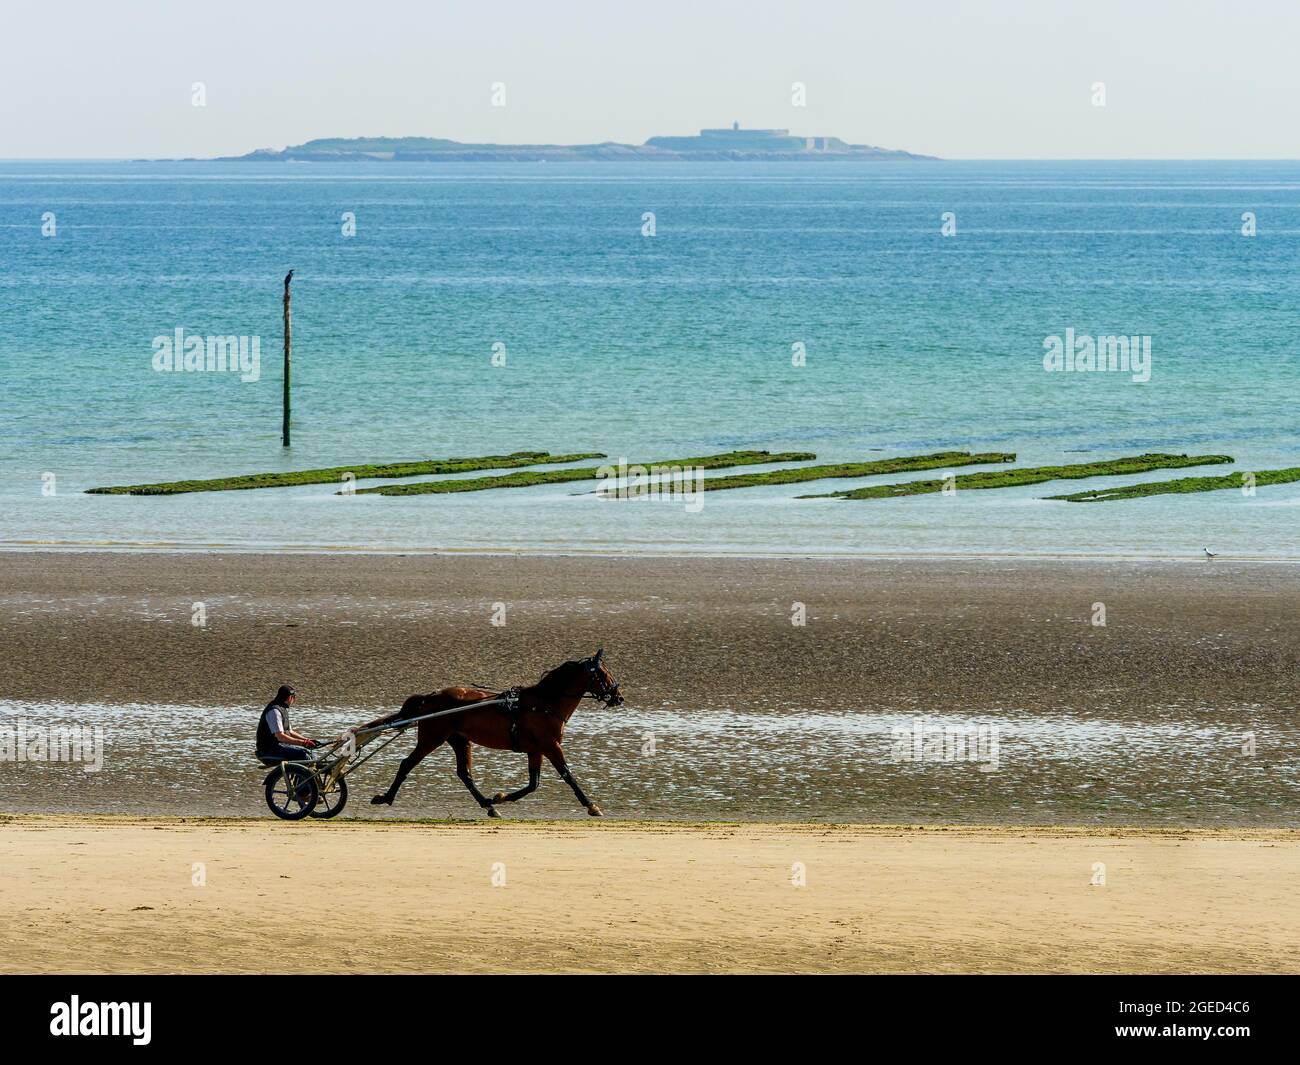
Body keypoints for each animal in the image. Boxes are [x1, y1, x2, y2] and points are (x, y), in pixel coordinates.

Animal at [367, 649, 624, 818]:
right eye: (603, 674)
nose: (619, 697)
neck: (544, 704)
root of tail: (431, 697)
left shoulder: (536, 750)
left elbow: (533, 783)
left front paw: (499, 797)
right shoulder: (550, 745)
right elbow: (568, 776)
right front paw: (591, 805)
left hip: (459, 740)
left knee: (464, 774)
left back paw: (488, 805)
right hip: (433, 737)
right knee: (407, 763)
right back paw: (386, 797)